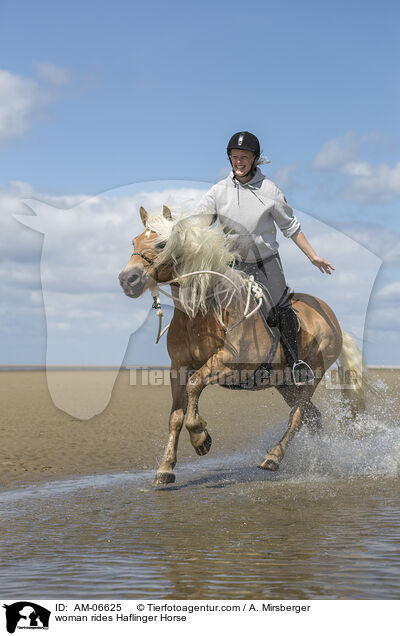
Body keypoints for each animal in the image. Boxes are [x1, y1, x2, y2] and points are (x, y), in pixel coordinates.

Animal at [118, 206, 366, 484]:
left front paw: (201, 438)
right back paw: (317, 460)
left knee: (299, 416)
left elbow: (195, 386)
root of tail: (331, 317)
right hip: (284, 384)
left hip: (311, 378)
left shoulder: (230, 364)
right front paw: (166, 467)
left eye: (162, 243)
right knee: (313, 417)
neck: (201, 314)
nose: (128, 279)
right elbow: (176, 416)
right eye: (134, 242)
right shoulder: (178, 368)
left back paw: (273, 457)